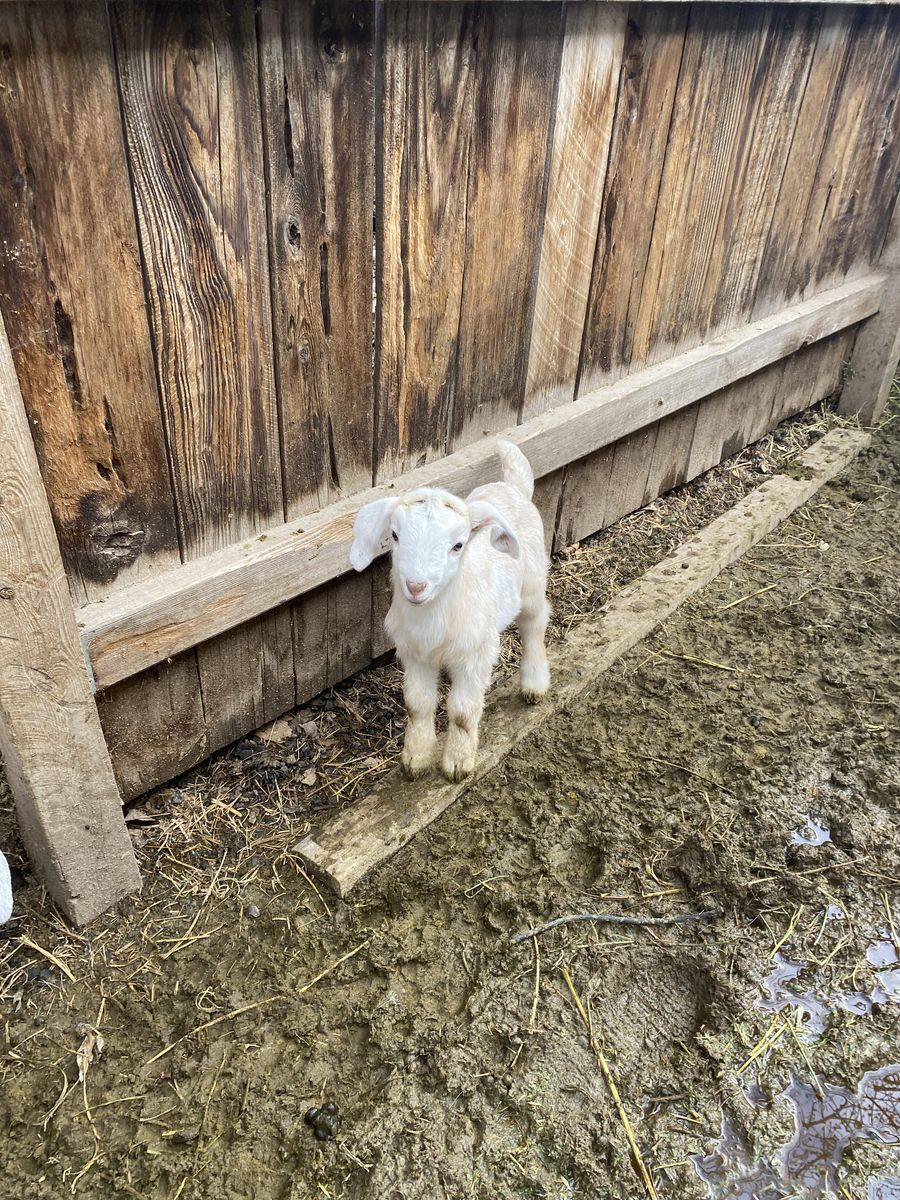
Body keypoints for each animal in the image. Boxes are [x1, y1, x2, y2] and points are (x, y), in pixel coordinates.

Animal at [350, 439, 550, 781]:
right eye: (395, 536)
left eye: (458, 545)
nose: (416, 586)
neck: (433, 615)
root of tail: (513, 487)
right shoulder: (414, 654)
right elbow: (418, 705)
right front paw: (416, 759)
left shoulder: (476, 654)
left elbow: (462, 712)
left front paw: (457, 763)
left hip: (533, 584)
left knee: (535, 625)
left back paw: (534, 684)